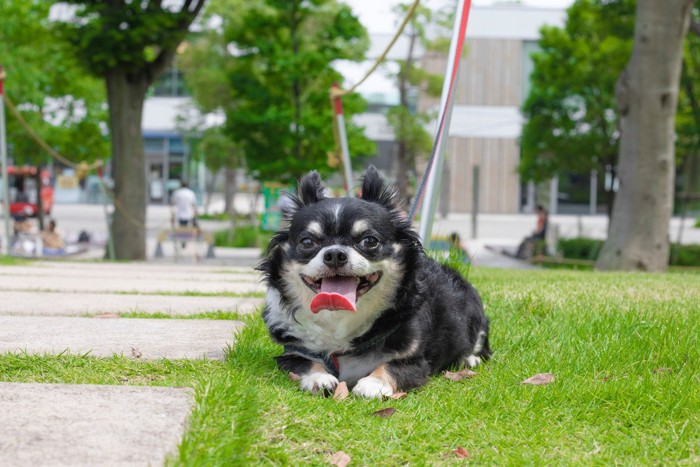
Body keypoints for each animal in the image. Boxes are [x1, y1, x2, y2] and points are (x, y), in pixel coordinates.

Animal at [254, 166, 490, 400]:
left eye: (369, 241)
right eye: (307, 242)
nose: (335, 254)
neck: (340, 319)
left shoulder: (415, 361)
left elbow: (391, 367)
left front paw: (374, 383)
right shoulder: (290, 354)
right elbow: (307, 363)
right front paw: (318, 378)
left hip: (475, 318)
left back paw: (469, 358)